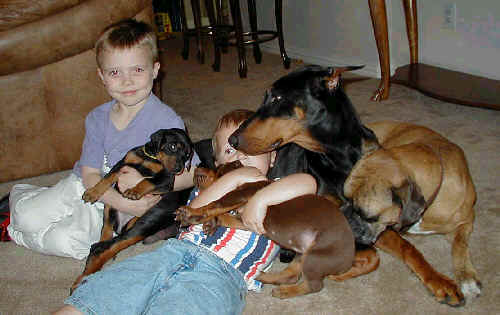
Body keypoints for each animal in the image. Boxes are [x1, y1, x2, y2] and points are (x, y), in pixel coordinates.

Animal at [72, 128, 193, 294]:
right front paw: (93, 192)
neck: (151, 158)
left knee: (109, 242)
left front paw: (134, 191)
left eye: (187, 155)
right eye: (173, 146)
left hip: (139, 221)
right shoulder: (123, 164)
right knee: (106, 230)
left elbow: (147, 181)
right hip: (110, 208)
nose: (179, 169)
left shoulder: (166, 180)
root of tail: (120, 225)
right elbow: (108, 178)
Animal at [176, 162, 356, 300]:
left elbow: (216, 203)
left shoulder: (242, 193)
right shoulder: (247, 220)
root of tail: (348, 261)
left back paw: (284, 292)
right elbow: (224, 215)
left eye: (218, 168)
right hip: (302, 254)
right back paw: (262, 277)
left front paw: (191, 213)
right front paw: (210, 222)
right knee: (291, 275)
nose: (197, 166)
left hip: (316, 256)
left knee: (314, 285)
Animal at [227, 66, 480, 306]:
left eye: (277, 98)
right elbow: (374, 254)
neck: (339, 157)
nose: (232, 140)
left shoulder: (374, 218)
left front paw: (440, 282)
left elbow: (404, 247)